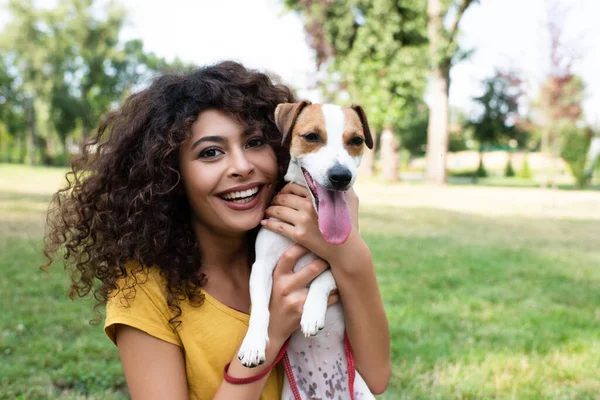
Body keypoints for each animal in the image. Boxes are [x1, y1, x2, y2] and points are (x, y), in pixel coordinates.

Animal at [238, 101, 376, 398]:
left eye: (356, 141)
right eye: (312, 136)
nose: (341, 176)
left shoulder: (342, 264)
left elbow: (322, 279)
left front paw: (312, 313)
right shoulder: (262, 265)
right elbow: (261, 308)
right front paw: (253, 343)